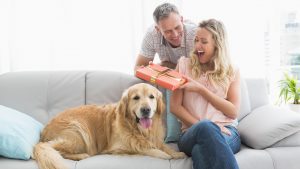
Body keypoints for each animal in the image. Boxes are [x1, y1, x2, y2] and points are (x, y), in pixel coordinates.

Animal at [32, 83, 185, 169]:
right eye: (136, 98)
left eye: (152, 97)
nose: (146, 110)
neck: (138, 129)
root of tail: (44, 132)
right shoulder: (118, 148)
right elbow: (144, 149)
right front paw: (164, 155)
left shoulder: (155, 139)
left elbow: (164, 146)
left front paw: (177, 153)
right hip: (79, 133)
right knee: (50, 147)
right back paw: (81, 155)